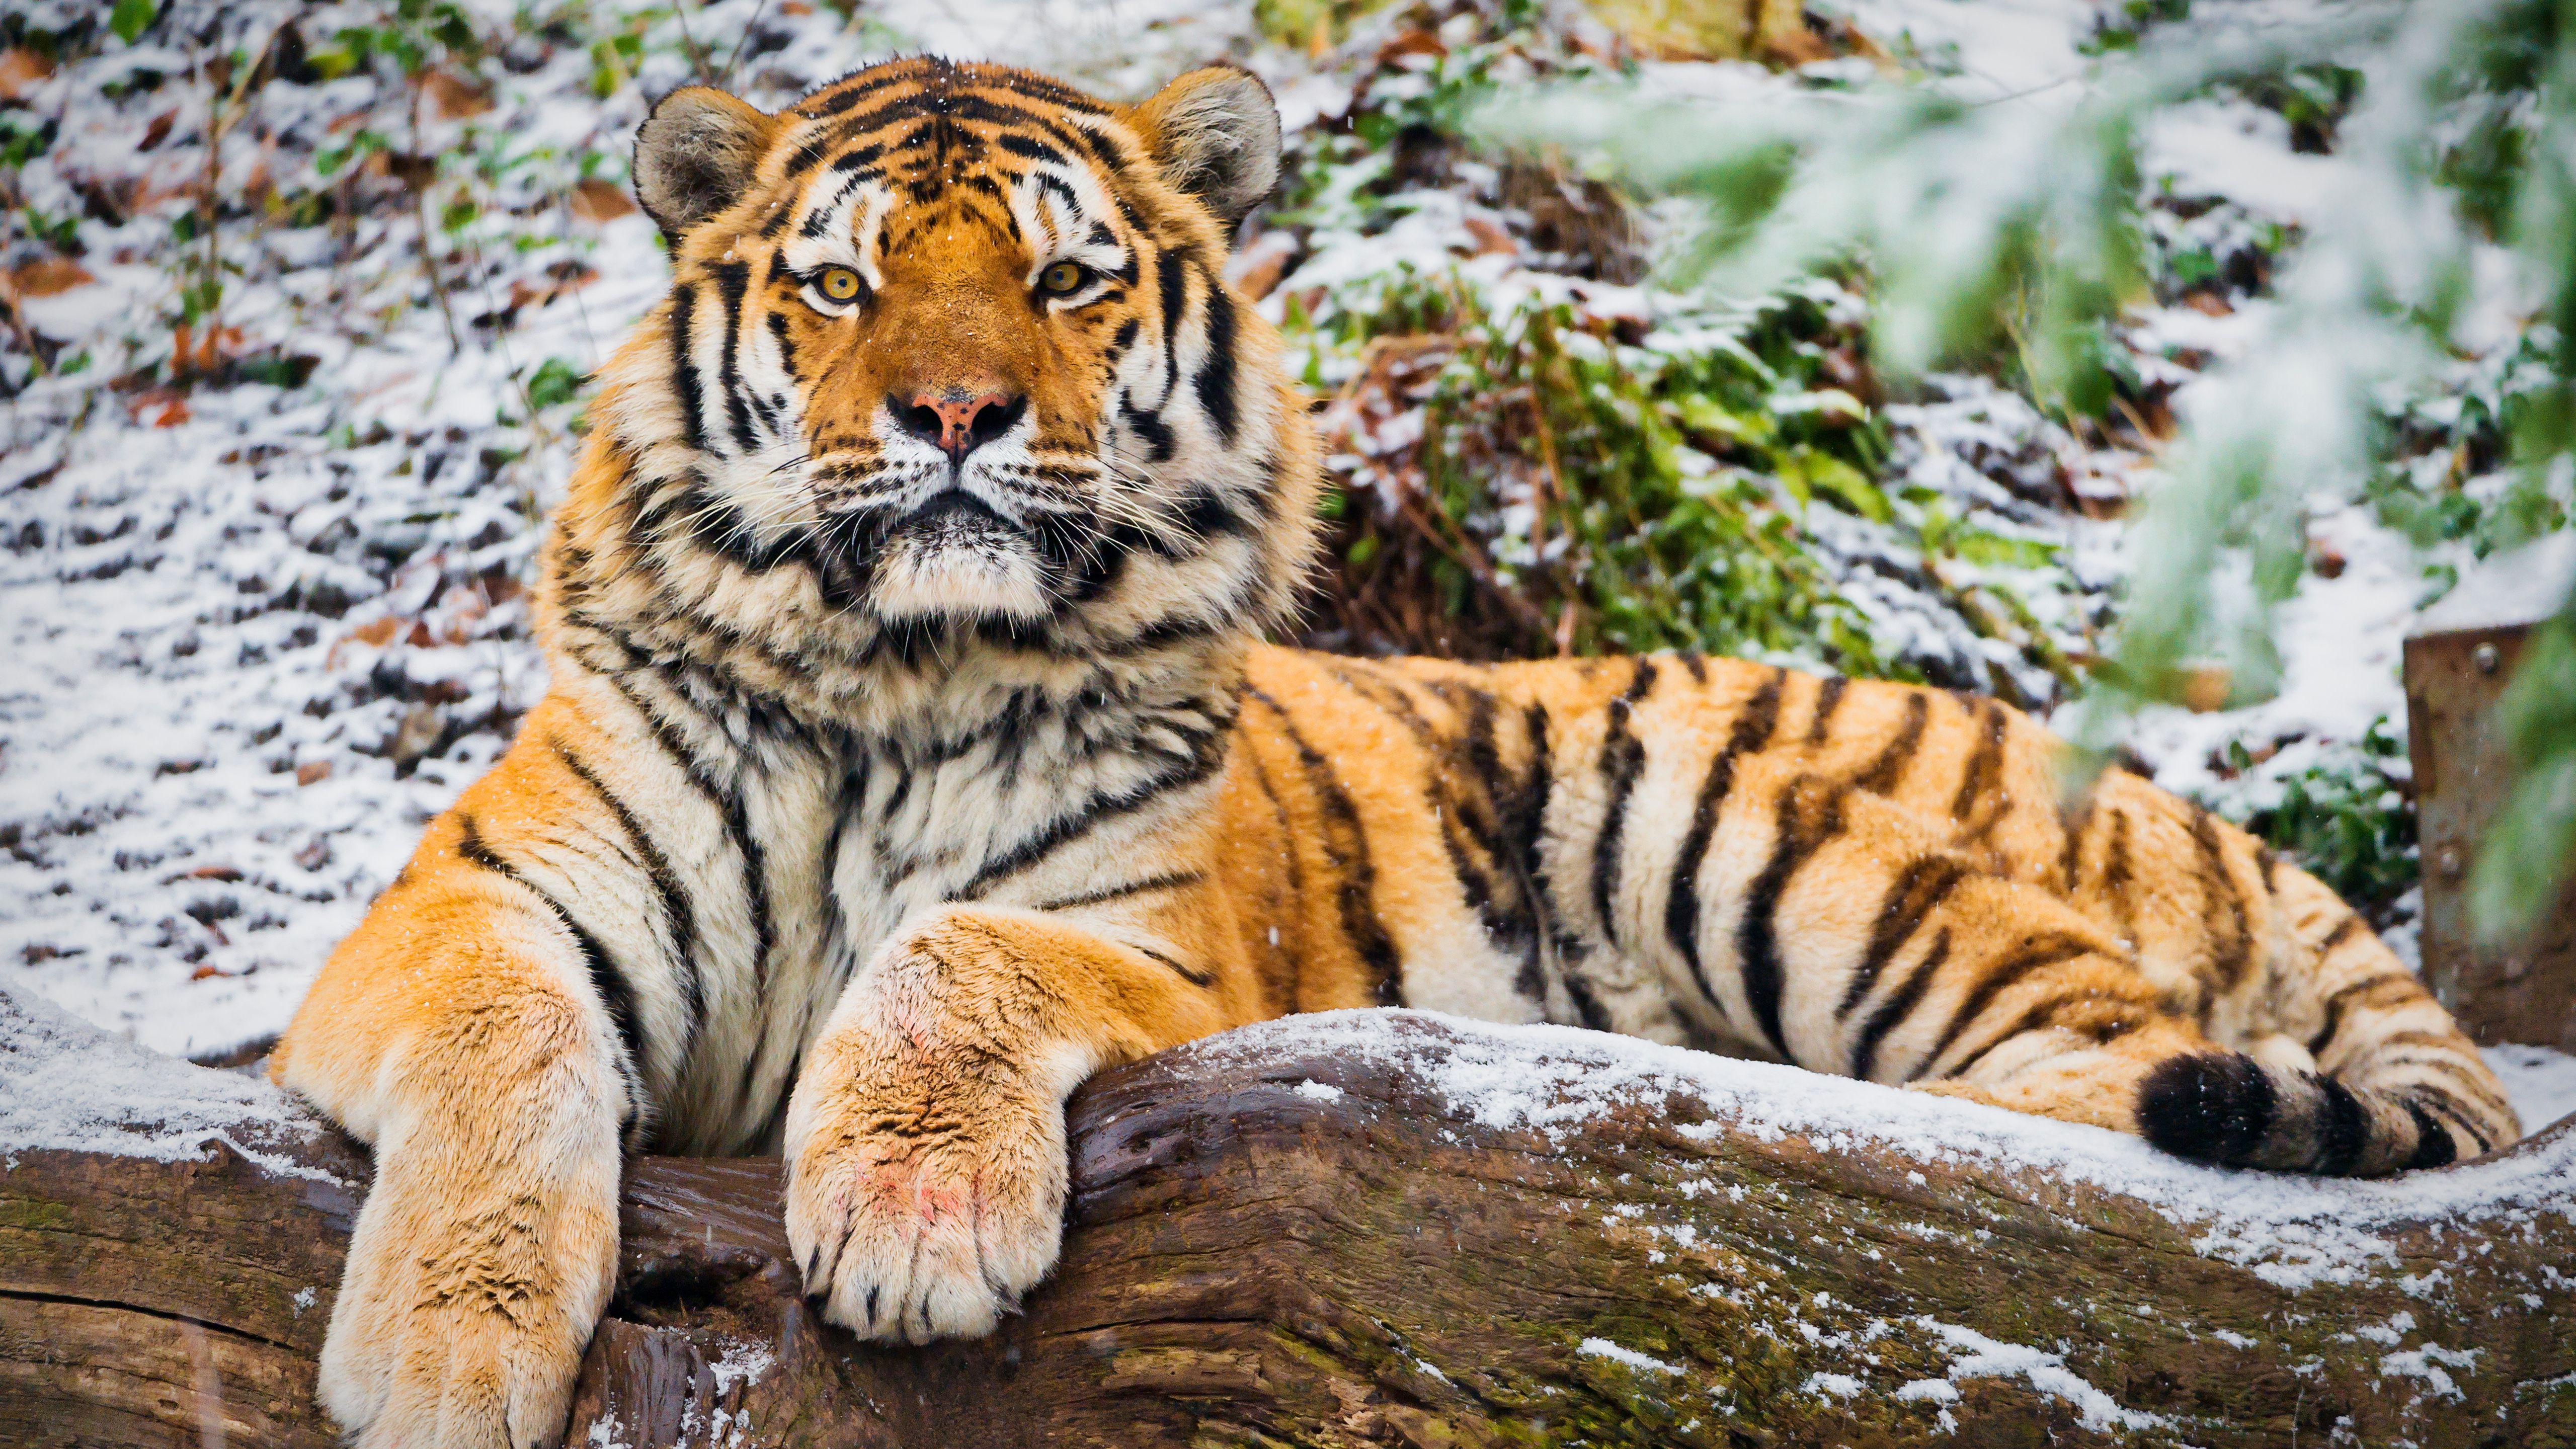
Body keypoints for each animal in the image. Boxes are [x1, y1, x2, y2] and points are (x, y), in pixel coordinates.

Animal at [272, 53, 2524, 1443]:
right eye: (838, 285)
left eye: (1066, 276)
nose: (954, 418)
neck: (896, 677)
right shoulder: (460, 910)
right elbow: (511, 1044)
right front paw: (446, 1361)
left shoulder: (1165, 949)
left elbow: (948, 953)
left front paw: (910, 1224)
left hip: (1746, 826)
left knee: (2086, 1105)